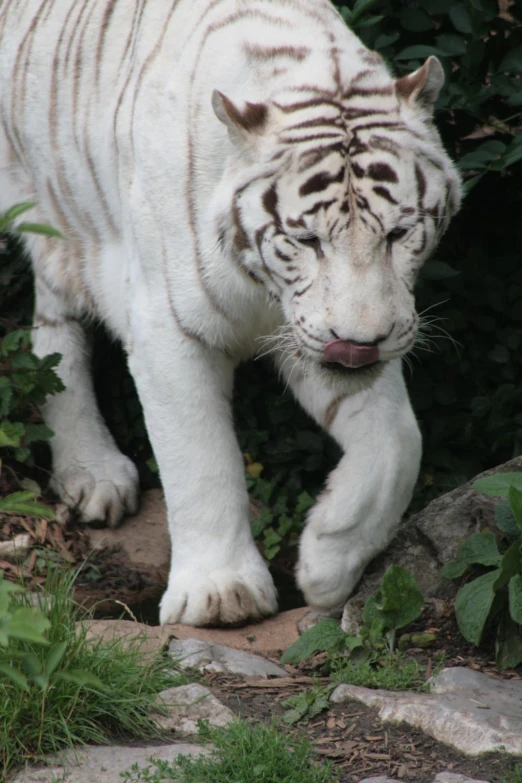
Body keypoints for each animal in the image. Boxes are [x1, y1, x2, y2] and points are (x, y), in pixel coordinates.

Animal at [0, 0, 460, 624]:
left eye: (398, 233)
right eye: (306, 239)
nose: (356, 344)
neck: (265, 289)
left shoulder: (330, 332)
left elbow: (398, 442)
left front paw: (328, 561)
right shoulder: (169, 330)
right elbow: (201, 460)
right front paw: (221, 593)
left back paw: (88, 470)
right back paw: (97, 470)